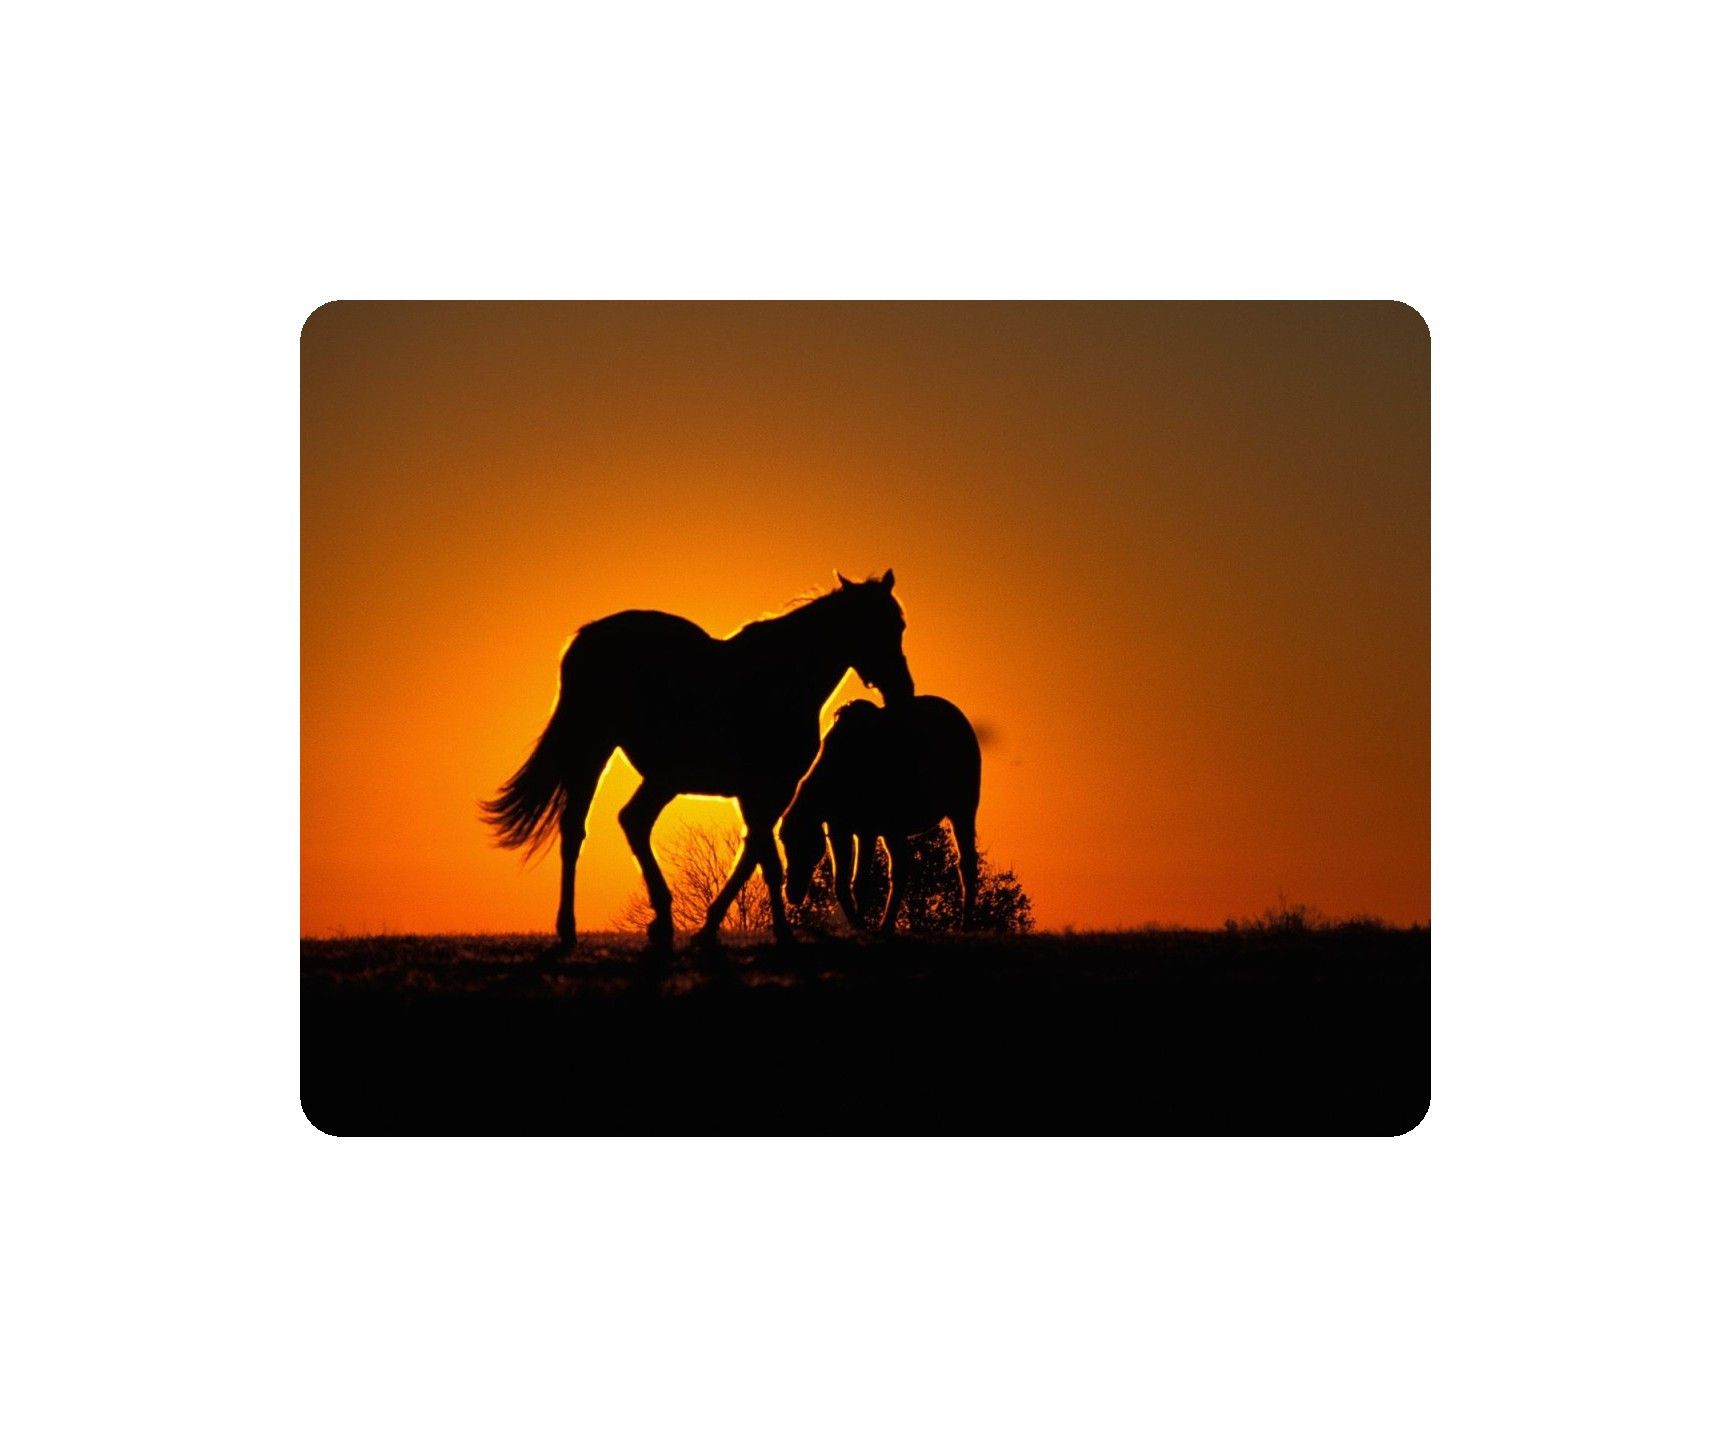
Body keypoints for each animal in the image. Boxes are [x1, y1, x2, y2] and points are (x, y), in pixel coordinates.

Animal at [482, 571, 914, 950]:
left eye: (900, 625)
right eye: (878, 625)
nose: (902, 690)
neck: (784, 681)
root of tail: (586, 638)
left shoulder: (761, 794)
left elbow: (752, 855)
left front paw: (710, 928)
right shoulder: (767, 789)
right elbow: (766, 860)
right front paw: (780, 933)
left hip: (662, 777)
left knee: (631, 820)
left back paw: (661, 922)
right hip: (596, 750)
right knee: (576, 829)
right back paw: (570, 929)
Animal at [781, 695, 981, 934]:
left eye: (805, 845)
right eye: (783, 842)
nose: (791, 892)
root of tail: (962, 720)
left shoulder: (867, 830)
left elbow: (860, 882)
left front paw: (862, 926)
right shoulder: (839, 829)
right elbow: (840, 884)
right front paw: (857, 925)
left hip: (962, 808)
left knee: (966, 863)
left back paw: (965, 924)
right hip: (895, 828)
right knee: (901, 869)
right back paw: (886, 925)